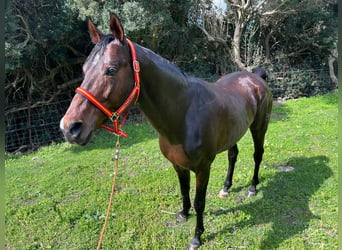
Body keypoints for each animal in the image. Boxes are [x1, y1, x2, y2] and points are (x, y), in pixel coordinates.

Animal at [58, 14, 272, 250]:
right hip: (233, 132)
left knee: (257, 155)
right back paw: (226, 188)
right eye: (84, 70)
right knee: (233, 155)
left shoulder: (203, 168)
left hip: (259, 127)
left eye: (111, 69)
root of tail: (255, 78)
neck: (184, 114)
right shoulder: (178, 165)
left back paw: (252, 188)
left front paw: (197, 237)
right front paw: (183, 214)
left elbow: (199, 201)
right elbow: (184, 190)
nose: (70, 127)